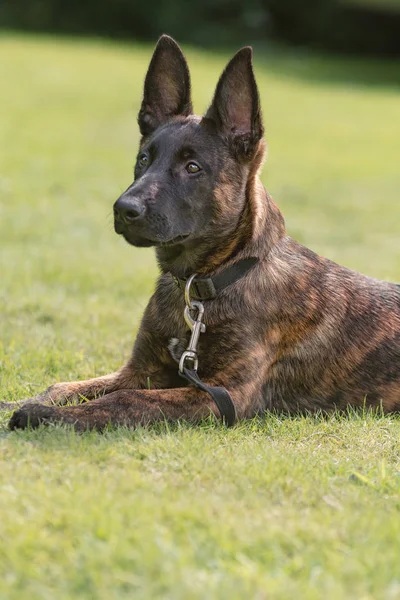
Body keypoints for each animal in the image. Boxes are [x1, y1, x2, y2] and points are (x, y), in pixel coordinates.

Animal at [7, 35, 400, 428]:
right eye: (143, 159)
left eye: (193, 167)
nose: (124, 209)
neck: (203, 284)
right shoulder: (140, 369)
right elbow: (64, 386)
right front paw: (27, 403)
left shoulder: (225, 395)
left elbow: (125, 400)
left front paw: (43, 415)